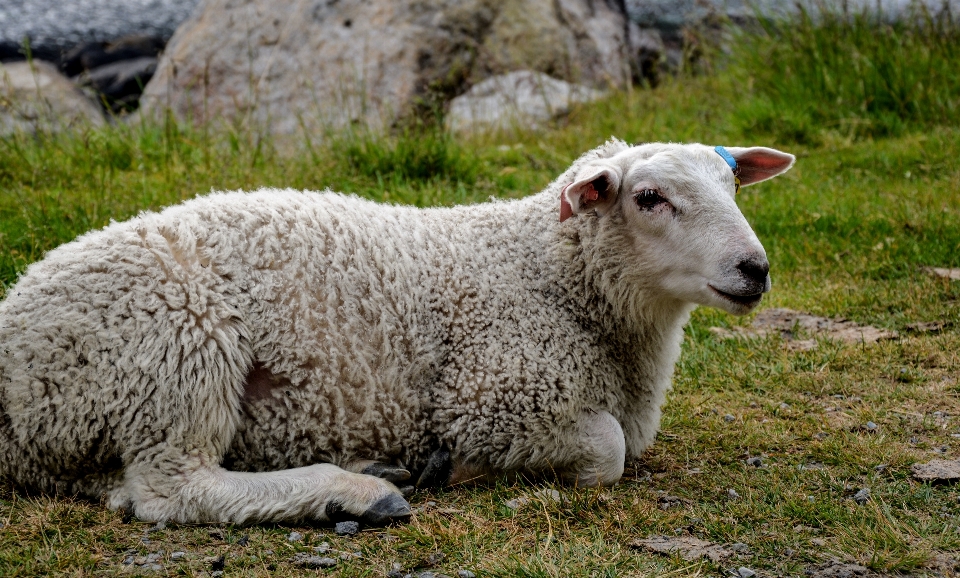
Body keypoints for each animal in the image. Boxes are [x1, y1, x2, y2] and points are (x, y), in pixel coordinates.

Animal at [0, 138, 796, 520]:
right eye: (650, 197)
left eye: (732, 184)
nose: (754, 269)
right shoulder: (493, 394)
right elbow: (609, 451)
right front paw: (463, 467)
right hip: (176, 347)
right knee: (171, 490)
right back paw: (355, 495)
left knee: (121, 485)